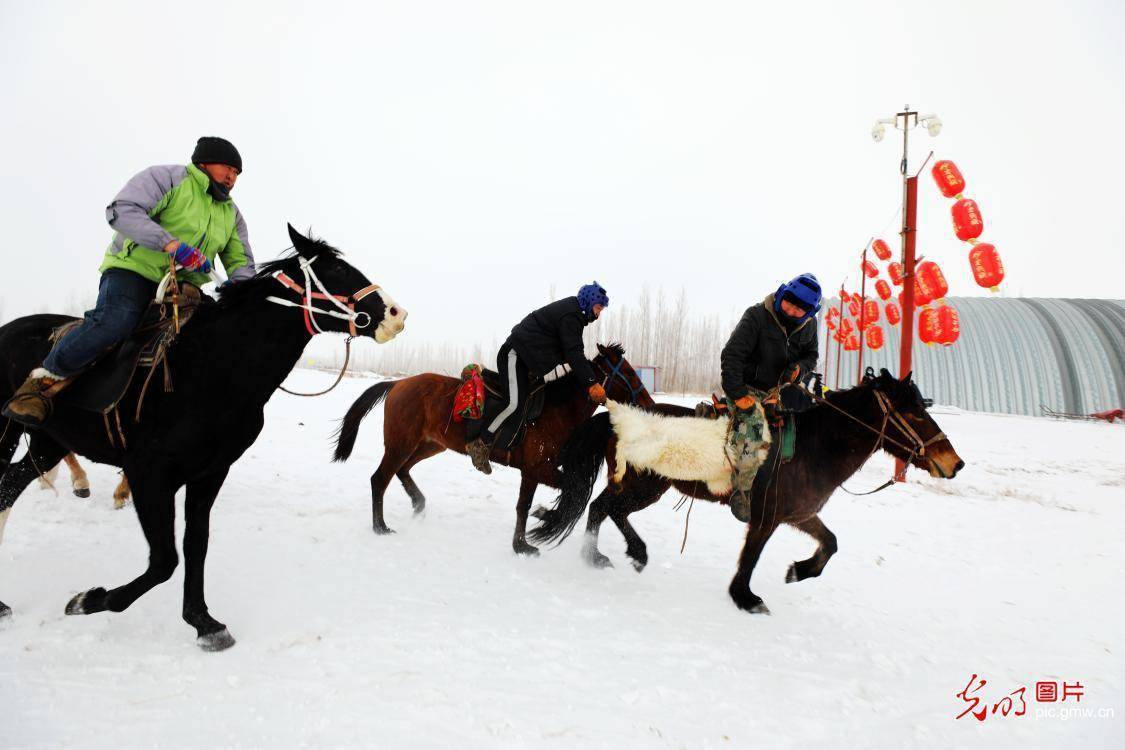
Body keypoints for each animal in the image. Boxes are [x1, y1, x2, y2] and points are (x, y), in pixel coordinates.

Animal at [0, 224, 405, 652]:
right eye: (338, 270)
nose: (397, 314)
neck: (213, 368)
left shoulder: (210, 473)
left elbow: (196, 545)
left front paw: (203, 622)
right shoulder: (148, 474)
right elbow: (164, 560)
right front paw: (88, 600)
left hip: (50, 442)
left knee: (8, 487)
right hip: (8, 432)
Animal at [328, 344, 657, 555]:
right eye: (629, 372)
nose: (650, 404)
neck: (556, 410)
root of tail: (398, 384)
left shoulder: (538, 471)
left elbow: (538, 500)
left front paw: (532, 529)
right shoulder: (536, 469)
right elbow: (549, 497)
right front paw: (528, 537)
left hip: (430, 444)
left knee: (402, 471)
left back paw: (418, 504)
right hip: (401, 443)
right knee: (380, 478)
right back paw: (381, 526)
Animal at [531, 368, 963, 616]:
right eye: (914, 414)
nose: (953, 463)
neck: (812, 448)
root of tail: (616, 417)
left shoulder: (800, 514)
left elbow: (831, 543)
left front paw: (798, 571)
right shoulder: (765, 517)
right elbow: (750, 559)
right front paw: (745, 598)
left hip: (644, 485)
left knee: (605, 510)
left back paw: (618, 555)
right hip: (643, 484)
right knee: (604, 508)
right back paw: (608, 555)